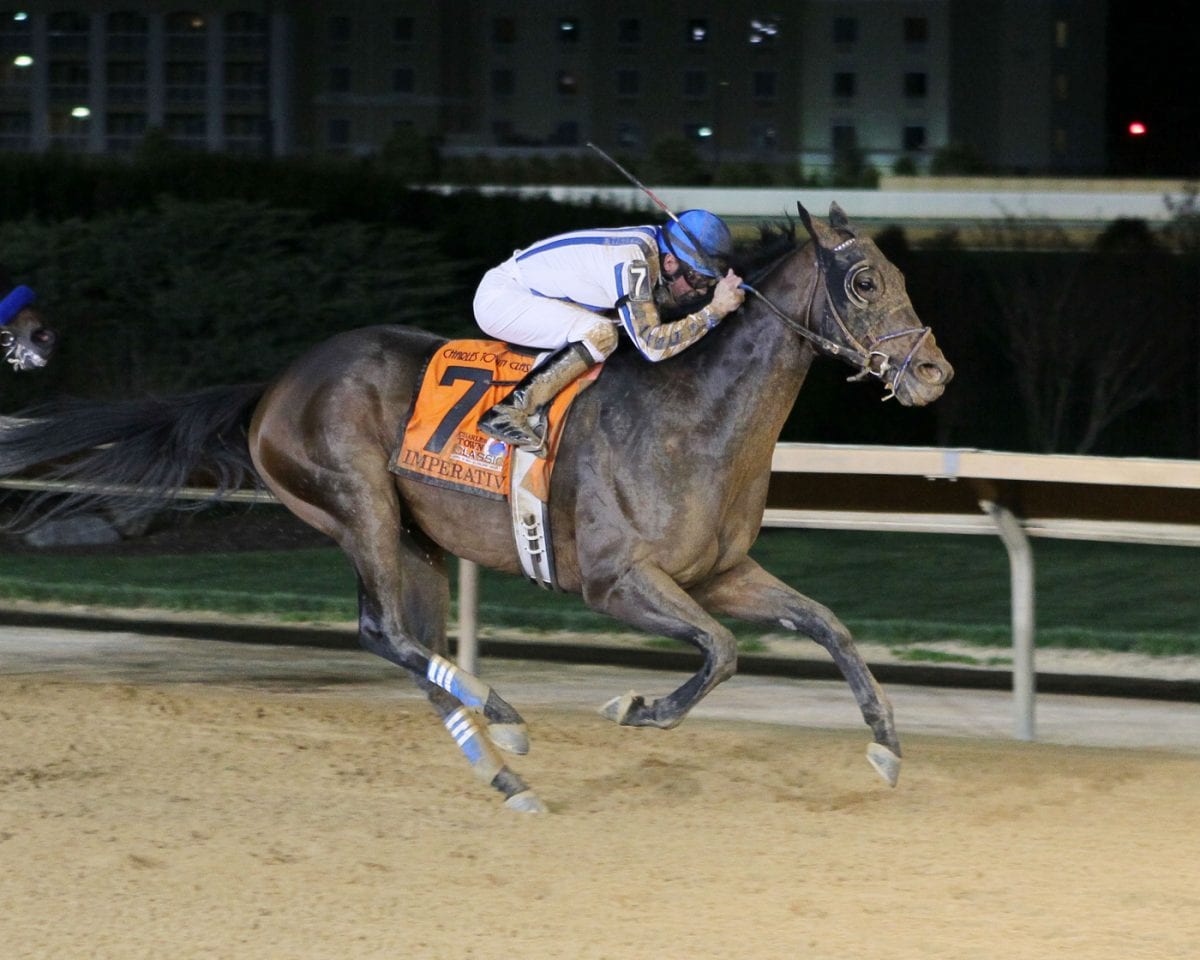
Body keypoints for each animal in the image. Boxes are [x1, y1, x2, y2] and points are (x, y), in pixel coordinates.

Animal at [0, 202, 955, 811]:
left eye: (897, 273)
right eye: (863, 282)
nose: (936, 373)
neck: (693, 415)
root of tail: (272, 387)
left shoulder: (721, 572)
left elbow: (827, 626)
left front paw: (886, 745)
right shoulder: (615, 582)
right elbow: (721, 652)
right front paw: (638, 709)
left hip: (416, 540)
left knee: (412, 649)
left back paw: (508, 775)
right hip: (358, 504)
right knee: (383, 633)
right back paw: (502, 714)